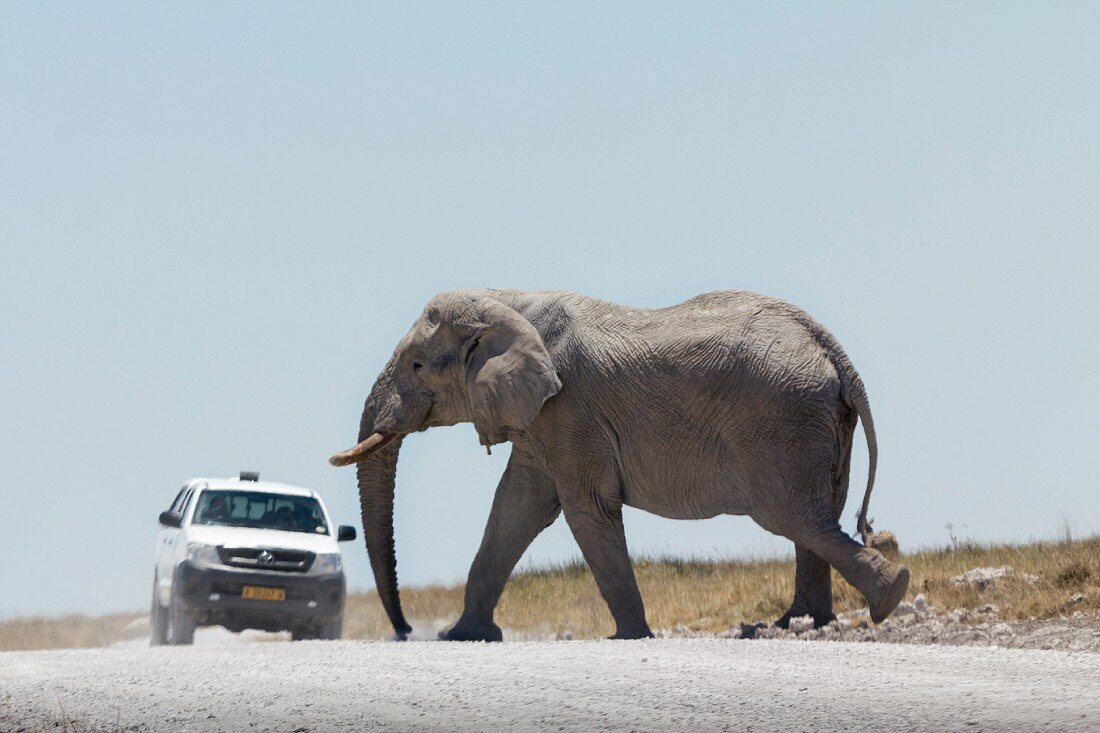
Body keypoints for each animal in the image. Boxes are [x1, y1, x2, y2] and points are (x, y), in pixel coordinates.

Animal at [327, 288, 910, 638]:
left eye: (417, 365)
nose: (406, 630)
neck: (508, 302)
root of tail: (834, 351)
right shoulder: (540, 420)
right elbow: (516, 507)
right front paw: (465, 636)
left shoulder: (570, 411)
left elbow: (584, 510)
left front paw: (631, 636)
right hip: (819, 421)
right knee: (816, 518)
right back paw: (797, 622)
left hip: (785, 422)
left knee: (798, 519)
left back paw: (889, 597)